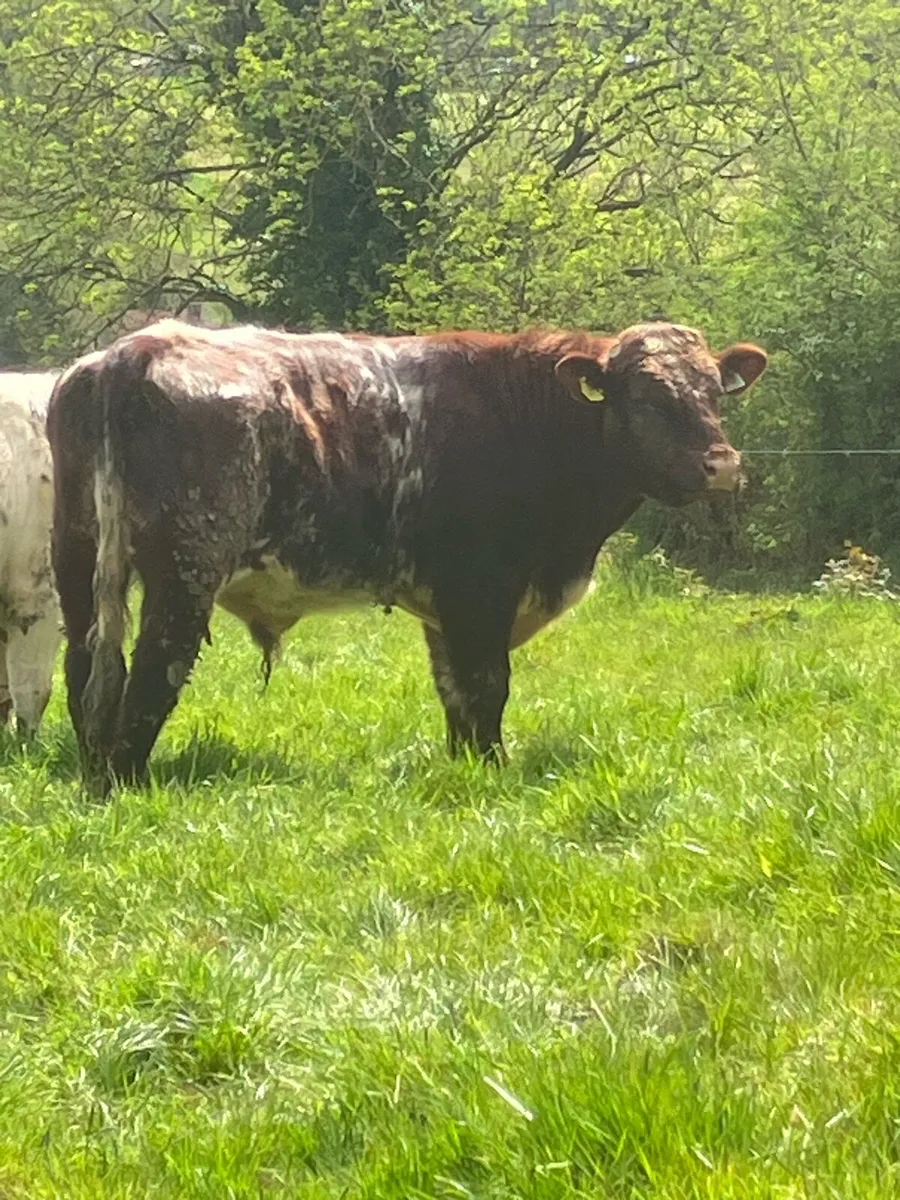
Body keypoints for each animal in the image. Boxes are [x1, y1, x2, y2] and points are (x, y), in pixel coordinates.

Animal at [47, 319, 767, 794]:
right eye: (647, 398)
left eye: (714, 391)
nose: (722, 465)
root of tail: (137, 348)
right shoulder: (480, 589)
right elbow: (486, 686)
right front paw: (493, 772)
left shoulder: (445, 603)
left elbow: (455, 693)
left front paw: (470, 764)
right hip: (186, 570)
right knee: (152, 673)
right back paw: (128, 781)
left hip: (76, 557)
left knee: (85, 669)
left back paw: (94, 773)